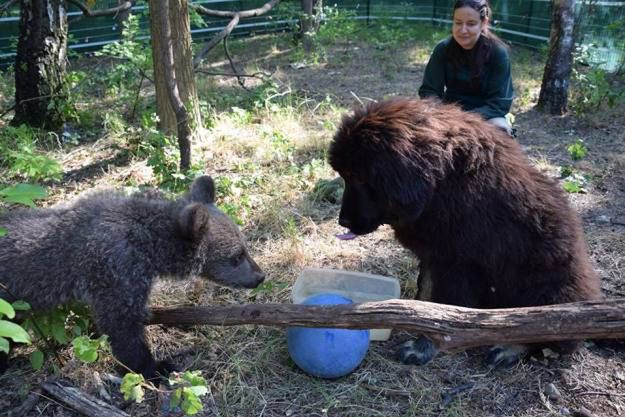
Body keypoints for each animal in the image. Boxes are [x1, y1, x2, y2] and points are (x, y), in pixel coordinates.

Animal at [330, 96, 604, 364]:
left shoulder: (455, 262)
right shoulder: (435, 255)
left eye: (359, 177)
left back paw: (508, 349)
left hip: (544, 285)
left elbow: (441, 305)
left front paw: (423, 346)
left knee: (545, 329)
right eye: (345, 175)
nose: (343, 221)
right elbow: (427, 291)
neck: (438, 183)